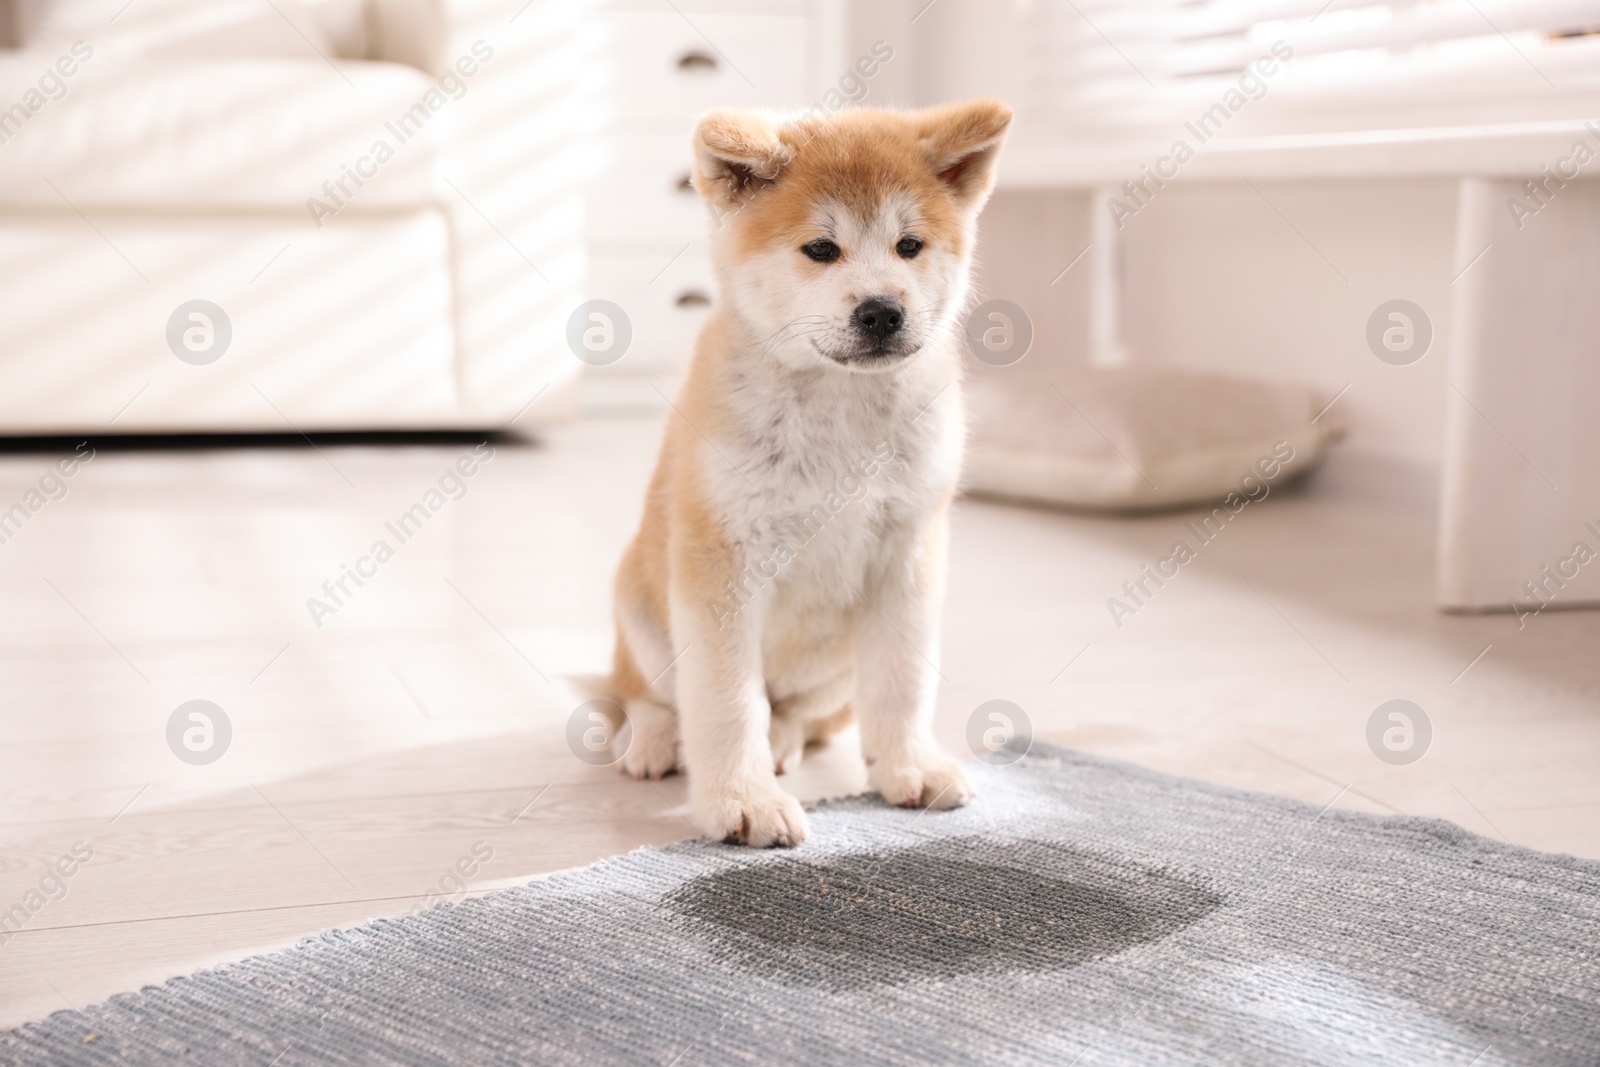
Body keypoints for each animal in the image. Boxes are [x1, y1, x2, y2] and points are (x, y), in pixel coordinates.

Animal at [604, 95, 1004, 844]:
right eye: (821, 248)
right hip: (640, 605)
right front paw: (742, 800)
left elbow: (902, 681)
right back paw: (653, 740)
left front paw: (909, 765)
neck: (838, 407)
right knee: (643, 693)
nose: (882, 311)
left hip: (831, 674)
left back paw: (785, 741)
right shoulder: (723, 560)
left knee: (797, 712)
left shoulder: (907, 552)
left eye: (909, 245)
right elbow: (727, 702)